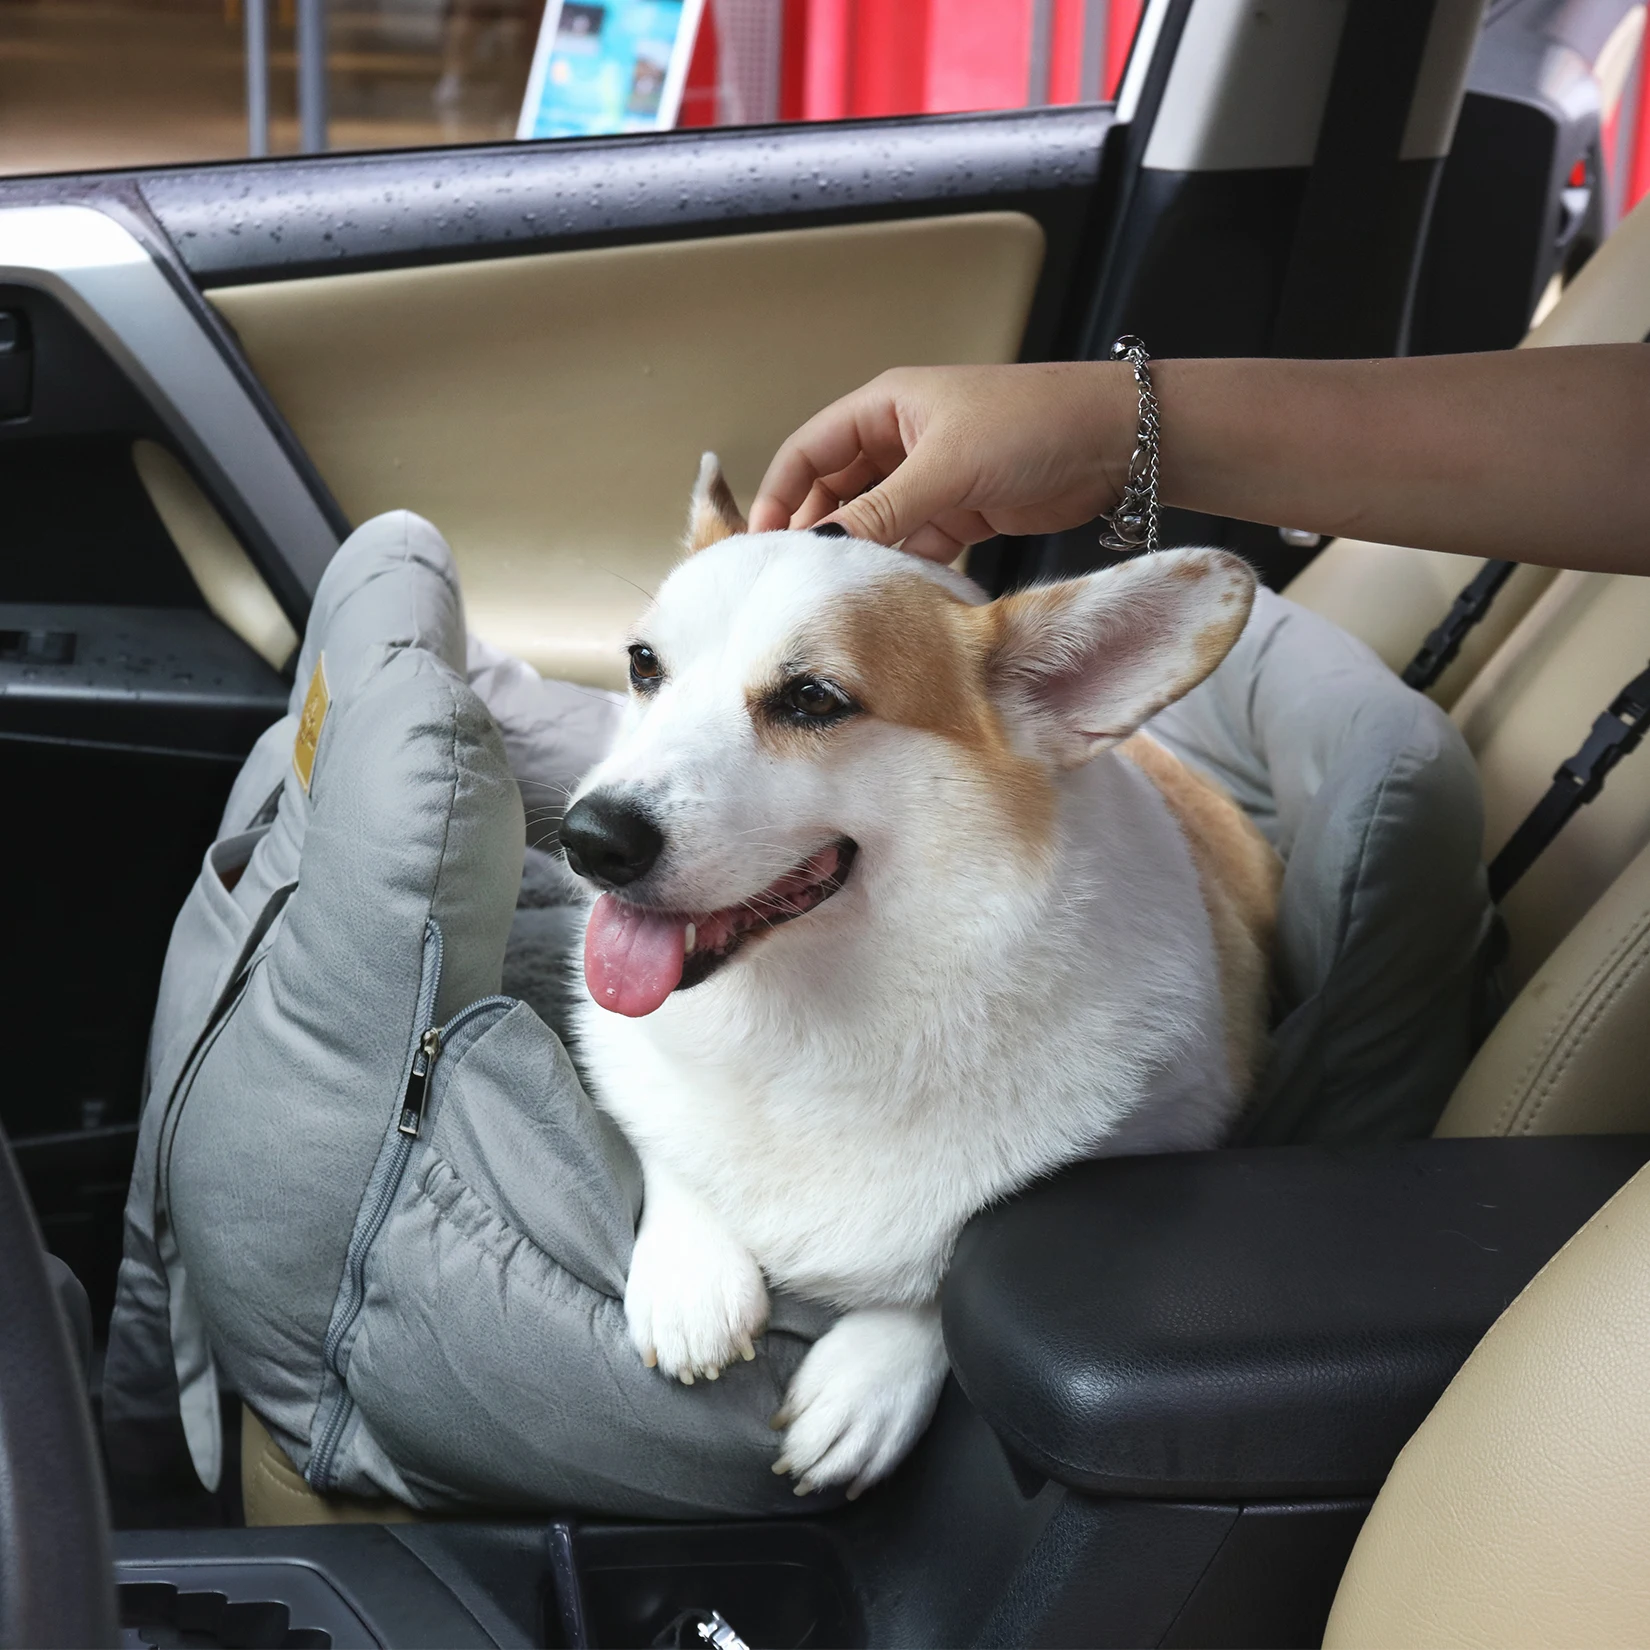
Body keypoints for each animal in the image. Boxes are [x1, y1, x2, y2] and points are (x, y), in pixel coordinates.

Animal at [561, 452, 1280, 1498]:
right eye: (644, 665)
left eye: (815, 700)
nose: (588, 841)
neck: (812, 1015)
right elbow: (670, 1137)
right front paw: (692, 1274)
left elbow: (953, 1267)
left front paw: (870, 1383)